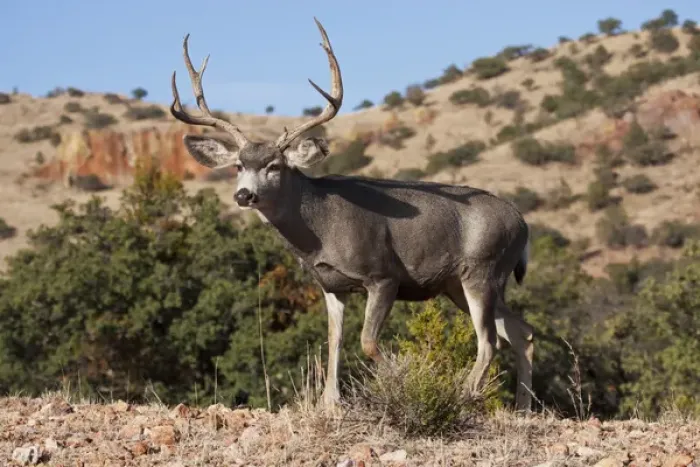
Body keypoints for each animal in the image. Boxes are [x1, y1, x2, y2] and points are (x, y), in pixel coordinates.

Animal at [169, 17, 535, 412]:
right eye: (238, 165)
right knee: (521, 332)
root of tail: (522, 223)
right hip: (459, 283)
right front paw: (330, 402)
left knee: (489, 340)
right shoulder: (330, 284)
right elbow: (335, 341)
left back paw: (465, 396)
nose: (243, 194)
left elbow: (368, 342)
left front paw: (401, 379)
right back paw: (523, 408)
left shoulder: (383, 275)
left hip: (483, 269)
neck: (319, 231)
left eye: (275, 166)